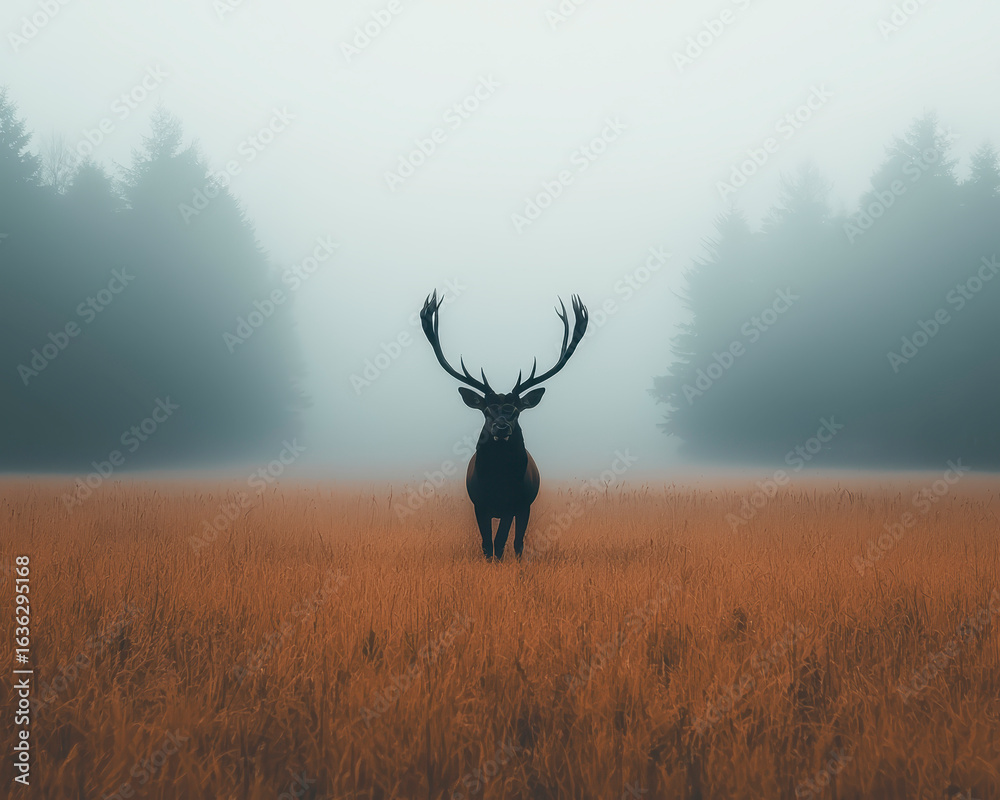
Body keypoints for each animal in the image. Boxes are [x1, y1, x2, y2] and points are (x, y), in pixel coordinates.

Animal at [419, 290, 589, 561]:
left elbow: (500, 542)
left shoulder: (514, 504)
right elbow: (487, 544)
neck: (497, 484)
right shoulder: (479, 504)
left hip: (526, 507)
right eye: (486, 411)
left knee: (518, 542)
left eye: (516, 412)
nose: (501, 428)